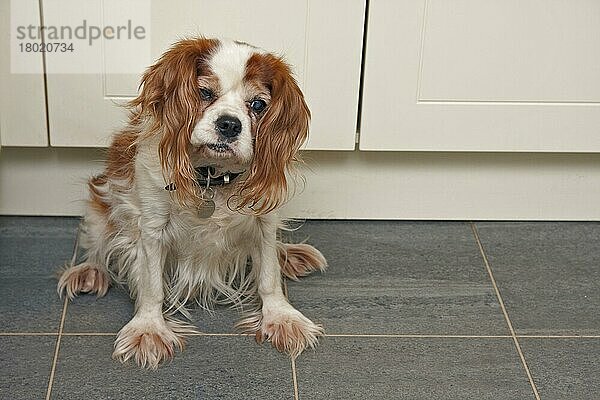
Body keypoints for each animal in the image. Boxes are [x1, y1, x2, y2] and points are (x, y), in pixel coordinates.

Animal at [57, 37, 324, 368]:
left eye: (258, 105)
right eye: (204, 93)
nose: (229, 124)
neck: (212, 177)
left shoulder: (264, 221)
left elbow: (268, 275)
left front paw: (282, 318)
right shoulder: (151, 227)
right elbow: (152, 285)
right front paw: (148, 328)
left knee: (276, 250)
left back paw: (289, 255)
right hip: (101, 203)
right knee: (97, 245)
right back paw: (89, 271)